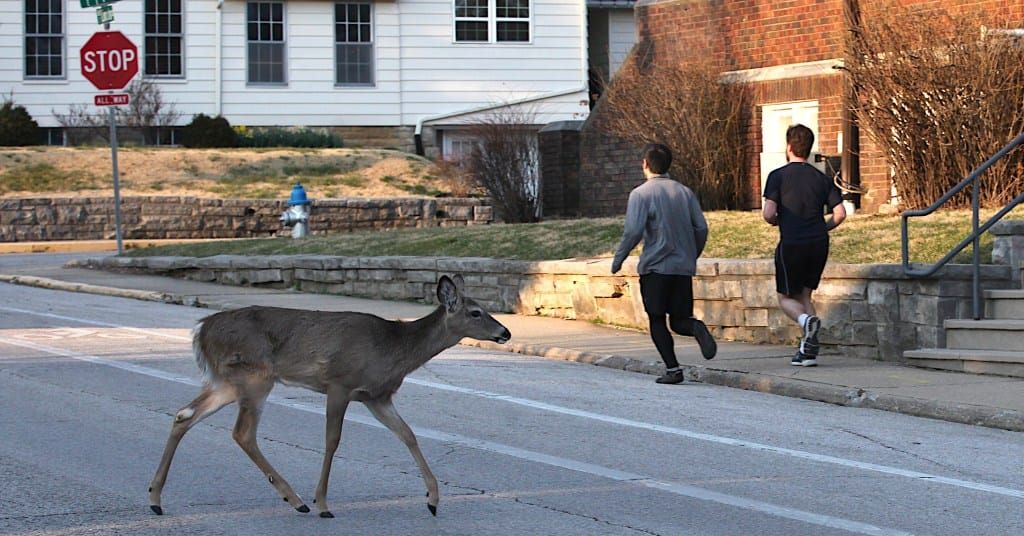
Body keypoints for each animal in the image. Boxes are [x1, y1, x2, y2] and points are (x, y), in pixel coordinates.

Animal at [148, 274, 511, 518]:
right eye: (476, 312)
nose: (505, 332)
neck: (395, 349)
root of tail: (200, 330)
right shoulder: (339, 383)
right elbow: (332, 441)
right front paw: (323, 502)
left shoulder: (377, 396)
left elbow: (408, 435)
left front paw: (433, 498)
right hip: (254, 376)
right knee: (242, 433)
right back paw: (297, 500)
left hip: (227, 382)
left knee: (184, 415)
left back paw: (155, 499)